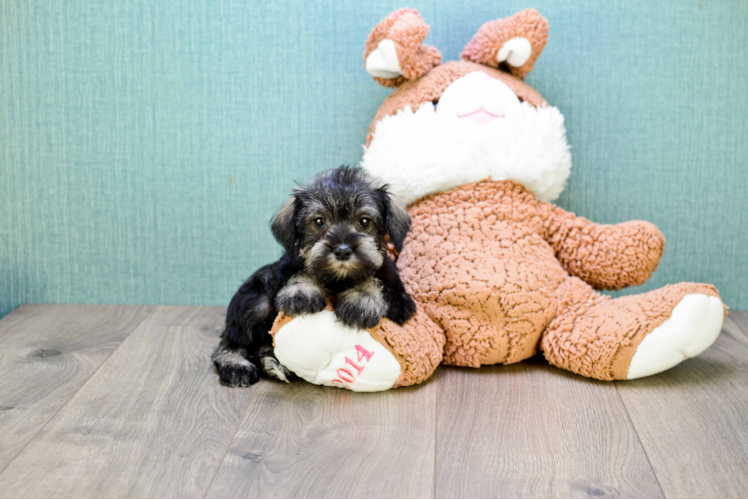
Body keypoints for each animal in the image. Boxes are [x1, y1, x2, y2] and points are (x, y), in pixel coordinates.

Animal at [213, 166, 418, 388]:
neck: (338, 280)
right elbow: (306, 270)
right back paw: (237, 365)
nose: (343, 251)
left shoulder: (400, 303)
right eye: (319, 221)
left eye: (364, 221)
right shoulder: (290, 268)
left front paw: (361, 298)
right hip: (257, 303)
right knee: (230, 341)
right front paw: (303, 291)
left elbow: (370, 277)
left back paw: (274, 364)